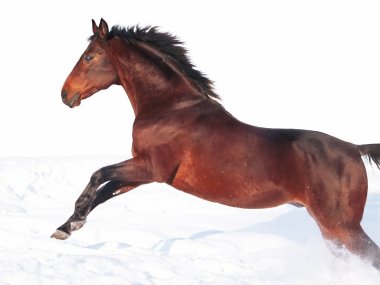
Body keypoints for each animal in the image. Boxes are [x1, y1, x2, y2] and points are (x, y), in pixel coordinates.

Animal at [53, 18, 380, 268]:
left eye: (89, 56)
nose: (65, 94)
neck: (170, 107)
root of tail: (355, 148)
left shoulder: (151, 168)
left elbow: (99, 175)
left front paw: (71, 221)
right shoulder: (143, 175)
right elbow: (105, 190)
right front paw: (67, 227)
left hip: (342, 226)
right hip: (329, 228)